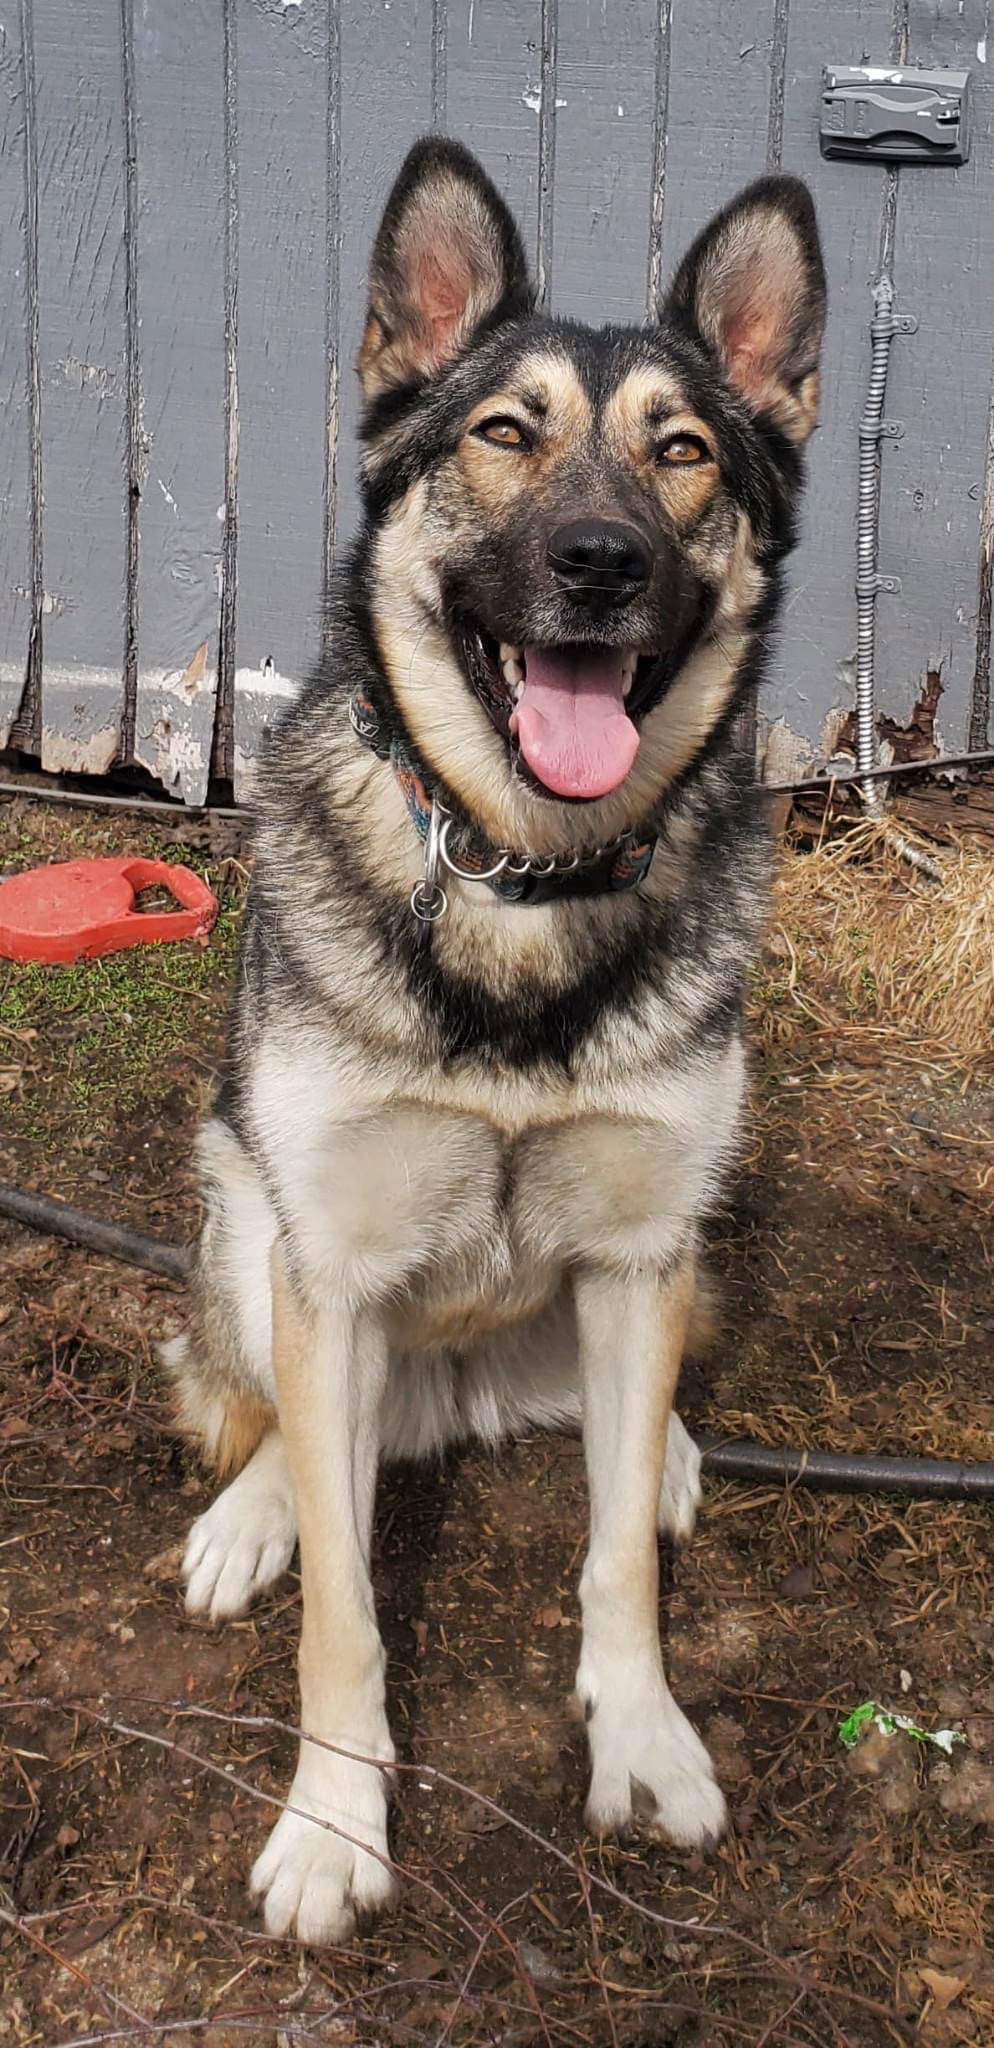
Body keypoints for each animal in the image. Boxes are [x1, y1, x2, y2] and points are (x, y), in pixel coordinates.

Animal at [162, 136, 823, 1941]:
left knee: (613, 1434)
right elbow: (344, 1608)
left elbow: (611, 1565)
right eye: (503, 434)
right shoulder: (325, 1253)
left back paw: (657, 1452)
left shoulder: (639, 1243)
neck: (522, 871)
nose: (597, 562)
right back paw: (256, 1509)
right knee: (277, 1411)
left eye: (681, 452)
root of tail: (452, 1393)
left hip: (677, 1259)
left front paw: (642, 1739)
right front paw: (332, 1824)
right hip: (244, 1214)